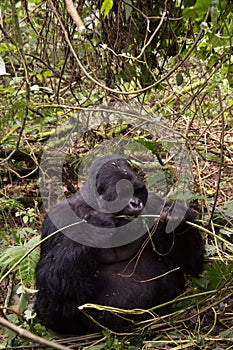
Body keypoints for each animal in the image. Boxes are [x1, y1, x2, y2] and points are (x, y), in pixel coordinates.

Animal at [34, 155, 204, 334]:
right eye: (124, 193)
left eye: (138, 191)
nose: (136, 203)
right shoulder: (58, 217)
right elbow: (51, 285)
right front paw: (97, 222)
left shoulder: (154, 204)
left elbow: (187, 263)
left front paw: (176, 217)